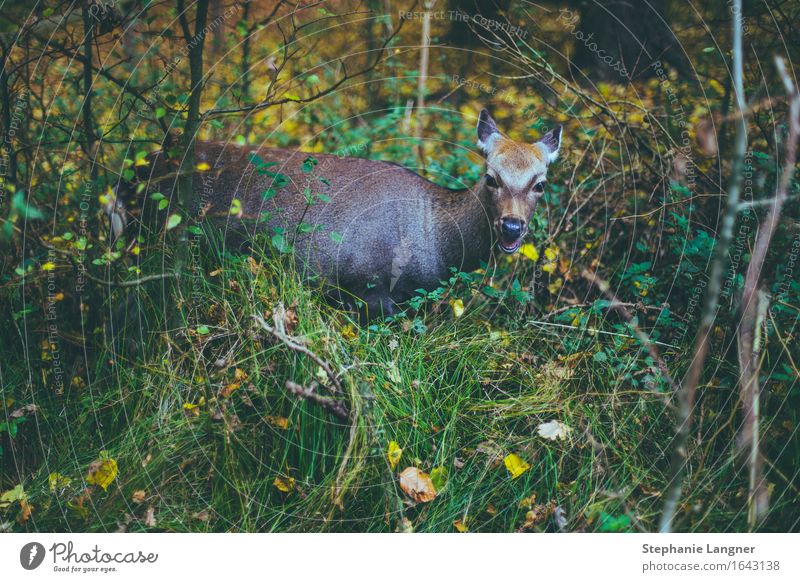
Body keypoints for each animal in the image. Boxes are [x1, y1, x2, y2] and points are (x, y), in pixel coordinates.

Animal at [117, 109, 564, 320]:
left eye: (540, 183)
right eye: (491, 177)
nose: (512, 226)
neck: (436, 248)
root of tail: (132, 172)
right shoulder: (365, 288)